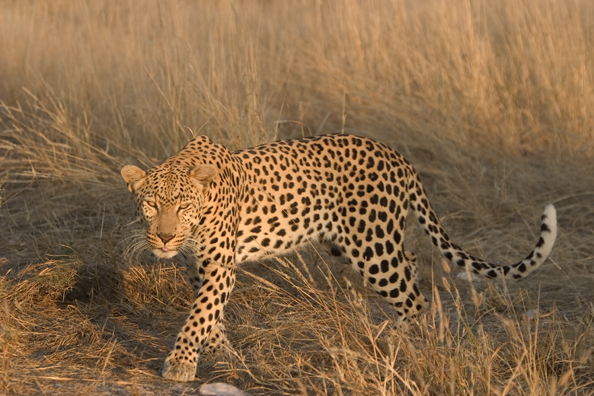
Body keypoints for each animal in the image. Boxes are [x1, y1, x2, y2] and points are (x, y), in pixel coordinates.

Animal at [120, 135, 556, 382]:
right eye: (152, 205)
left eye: (183, 206)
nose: (164, 237)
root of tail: (398, 156)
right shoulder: (199, 267)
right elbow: (209, 316)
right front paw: (220, 352)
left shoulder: (218, 266)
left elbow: (200, 315)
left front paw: (180, 364)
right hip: (357, 242)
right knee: (411, 260)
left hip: (371, 248)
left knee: (414, 297)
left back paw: (393, 342)